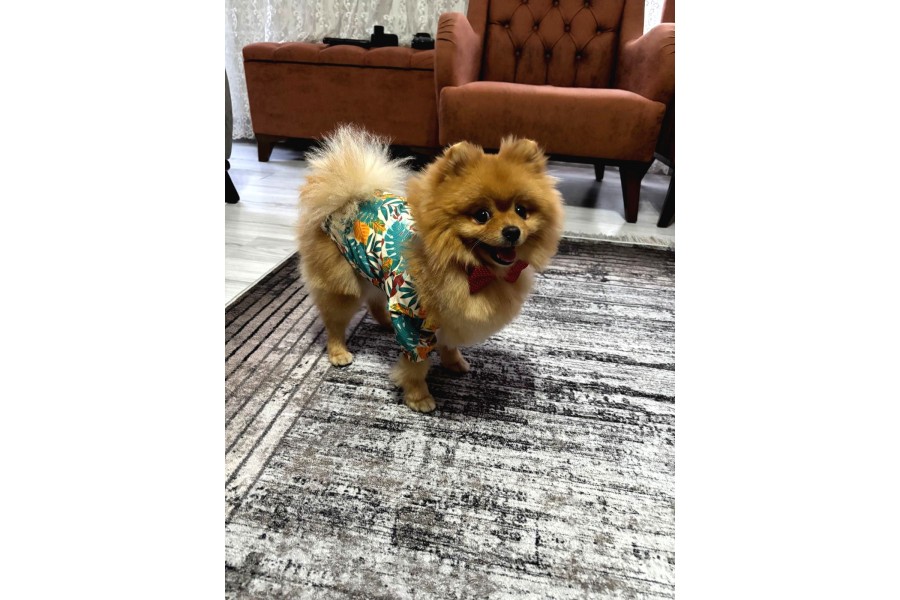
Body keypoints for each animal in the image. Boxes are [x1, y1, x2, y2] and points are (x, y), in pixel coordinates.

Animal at [298, 126, 564, 412]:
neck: (467, 268)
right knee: (334, 320)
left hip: (375, 273)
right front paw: (418, 396)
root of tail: (348, 195)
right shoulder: (411, 318)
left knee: (375, 300)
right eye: (482, 215)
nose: (513, 231)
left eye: (521, 211)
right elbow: (416, 364)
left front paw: (454, 362)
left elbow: (448, 343)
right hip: (342, 283)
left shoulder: (450, 313)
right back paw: (338, 352)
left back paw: (386, 324)